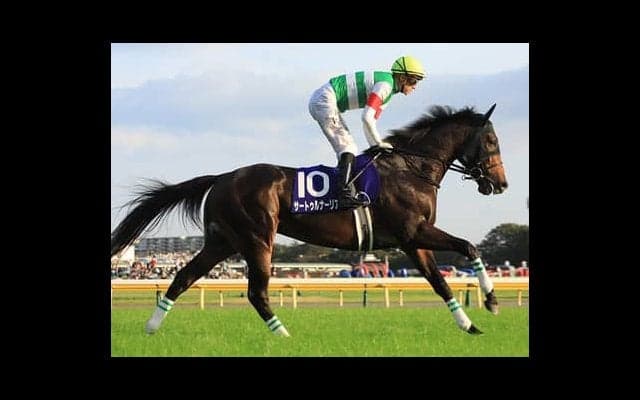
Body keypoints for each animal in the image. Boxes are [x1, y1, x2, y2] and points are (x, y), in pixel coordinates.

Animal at [111, 104, 508, 336]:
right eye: (491, 141)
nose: (501, 183)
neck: (410, 169)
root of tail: (222, 177)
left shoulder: (411, 241)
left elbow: (440, 283)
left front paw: (470, 324)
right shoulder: (414, 231)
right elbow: (469, 247)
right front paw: (491, 301)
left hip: (222, 241)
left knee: (183, 277)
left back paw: (151, 327)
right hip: (257, 238)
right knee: (256, 292)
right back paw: (284, 336)